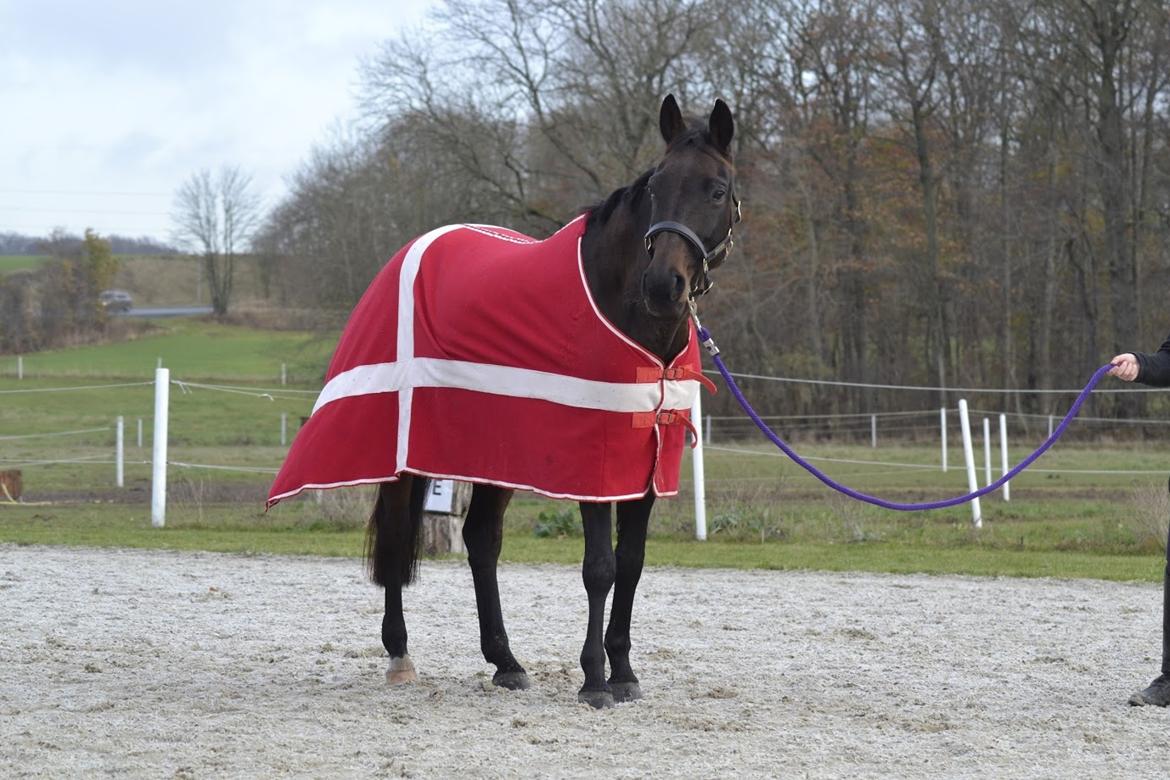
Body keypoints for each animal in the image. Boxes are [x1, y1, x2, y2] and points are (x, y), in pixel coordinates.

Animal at [365, 94, 734, 711]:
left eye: (717, 189)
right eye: (656, 186)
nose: (663, 287)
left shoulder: (646, 463)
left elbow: (632, 563)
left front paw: (624, 671)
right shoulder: (594, 461)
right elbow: (600, 567)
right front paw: (594, 680)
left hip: (494, 454)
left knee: (481, 540)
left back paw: (505, 662)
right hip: (408, 451)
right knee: (397, 531)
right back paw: (399, 654)